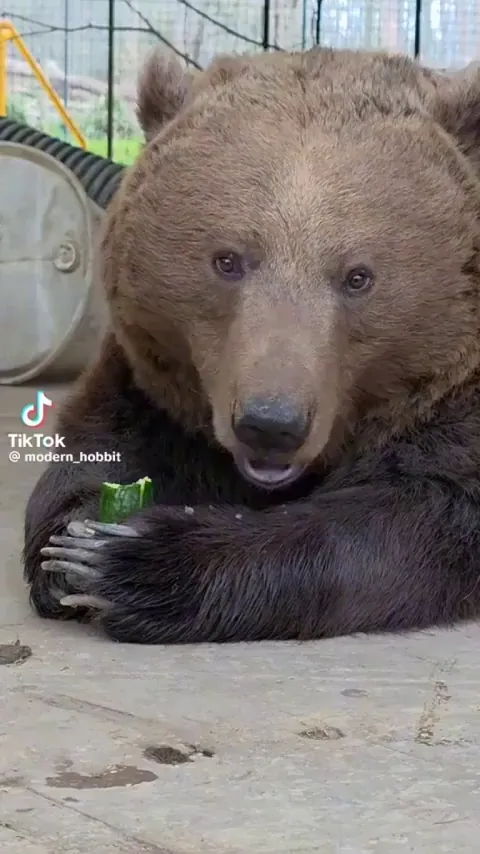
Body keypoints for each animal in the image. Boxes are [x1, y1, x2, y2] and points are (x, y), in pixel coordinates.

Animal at [23, 46, 480, 644]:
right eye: (227, 260)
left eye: (358, 276)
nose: (271, 424)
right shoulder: (151, 376)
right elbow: (97, 447)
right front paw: (73, 546)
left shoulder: (455, 403)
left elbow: (420, 517)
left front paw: (139, 561)